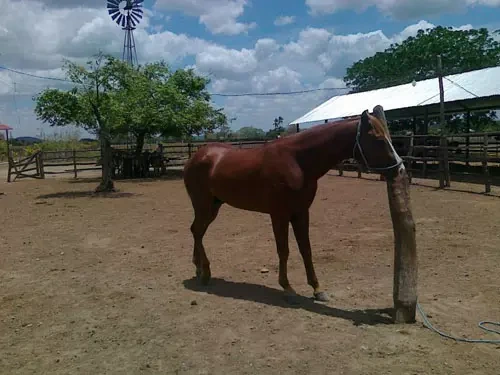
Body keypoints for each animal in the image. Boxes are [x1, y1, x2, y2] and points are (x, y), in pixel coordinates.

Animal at [183, 105, 402, 302]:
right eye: (378, 138)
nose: (399, 169)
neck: (297, 162)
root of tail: (196, 157)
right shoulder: (279, 215)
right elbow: (284, 250)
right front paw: (287, 288)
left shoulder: (301, 212)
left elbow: (306, 249)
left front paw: (317, 288)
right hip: (203, 206)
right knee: (197, 231)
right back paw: (205, 273)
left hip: (213, 206)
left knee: (197, 231)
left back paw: (199, 268)